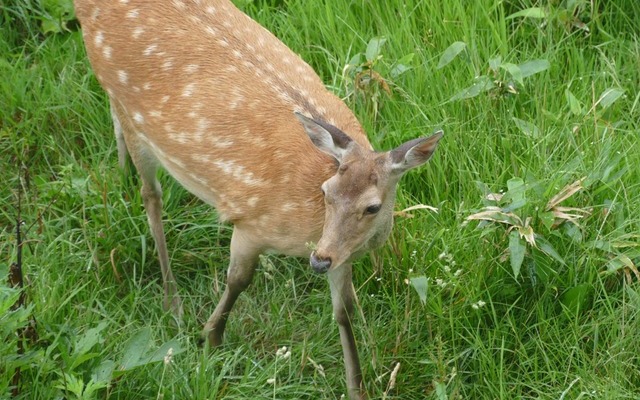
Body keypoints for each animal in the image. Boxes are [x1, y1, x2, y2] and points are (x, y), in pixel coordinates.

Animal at [75, 0, 442, 396]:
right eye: (326, 193)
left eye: (372, 207)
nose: (318, 260)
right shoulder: (252, 223)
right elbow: (238, 280)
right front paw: (210, 338)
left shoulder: (341, 253)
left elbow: (343, 311)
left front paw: (356, 387)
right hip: (132, 112)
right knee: (151, 195)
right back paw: (172, 299)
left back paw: (121, 172)